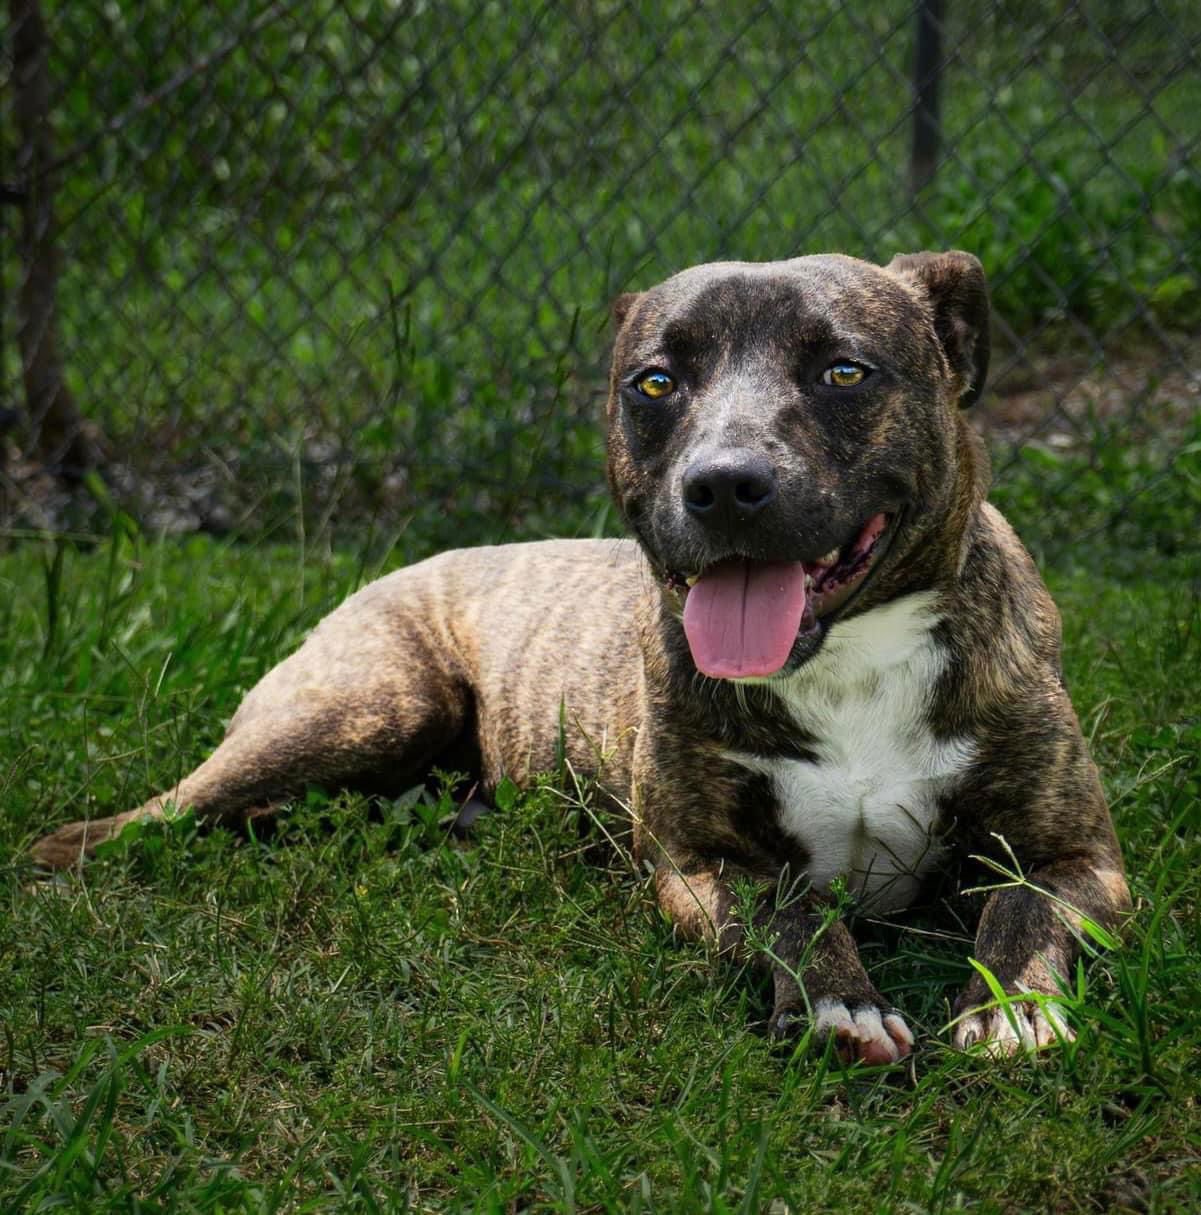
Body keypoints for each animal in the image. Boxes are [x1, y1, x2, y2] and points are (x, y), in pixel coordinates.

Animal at [32, 253, 1132, 1064]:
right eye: (655, 383)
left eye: (844, 372)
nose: (723, 484)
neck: (848, 664)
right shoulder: (699, 865)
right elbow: (788, 914)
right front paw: (838, 1004)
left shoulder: (1078, 858)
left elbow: (1020, 914)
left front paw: (1008, 1008)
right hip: (369, 704)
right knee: (158, 812)